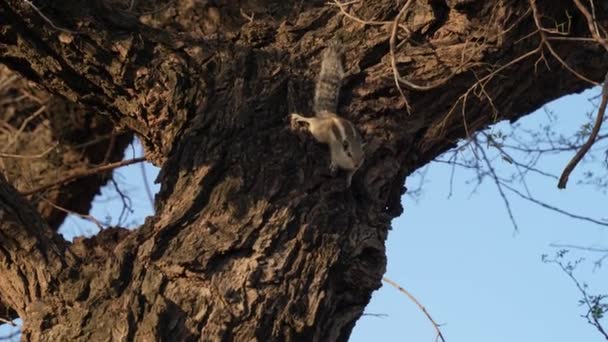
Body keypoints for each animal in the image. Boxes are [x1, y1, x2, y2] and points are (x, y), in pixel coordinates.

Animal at [290, 40, 366, 187]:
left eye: (362, 156)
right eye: (348, 153)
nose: (356, 164)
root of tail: (329, 115)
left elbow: (351, 174)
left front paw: (349, 180)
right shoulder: (335, 150)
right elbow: (334, 159)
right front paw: (333, 167)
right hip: (318, 131)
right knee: (311, 121)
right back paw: (299, 117)